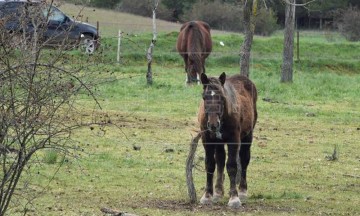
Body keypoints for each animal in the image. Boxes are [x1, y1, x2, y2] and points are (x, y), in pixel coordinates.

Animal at [197, 73, 258, 208]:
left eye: (222, 97)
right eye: (204, 97)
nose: (213, 124)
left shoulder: (233, 140)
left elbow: (232, 166)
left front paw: (234, 198)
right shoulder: (207, 140)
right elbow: (210, 164)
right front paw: (207, 195)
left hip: (247, 137)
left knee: (244, 159)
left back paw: (242, 190)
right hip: (219, 142)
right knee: (220, 160)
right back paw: (218, 192)